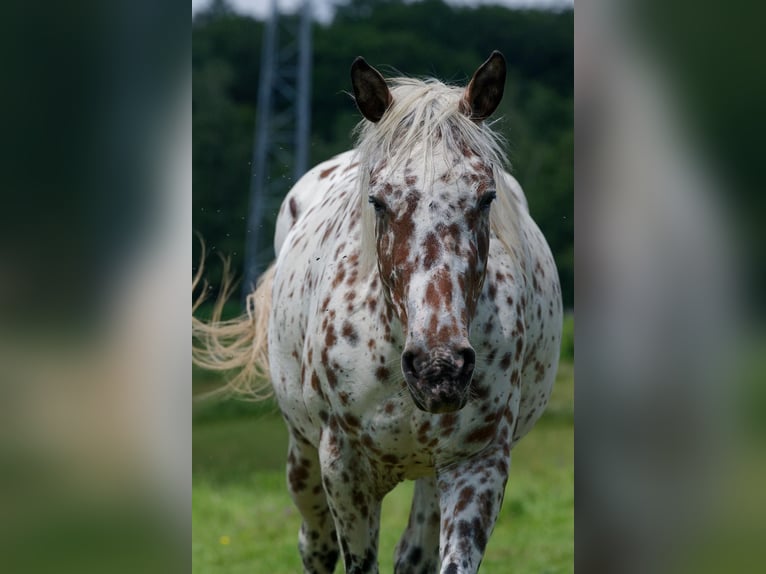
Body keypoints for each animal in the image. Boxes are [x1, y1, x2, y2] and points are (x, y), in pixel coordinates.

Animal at [192, 50, 564, 574]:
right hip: (303, 458)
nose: (438, 368)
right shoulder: (344, 467)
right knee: (315, 544)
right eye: (379, 200)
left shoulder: (478, 463)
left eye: (486, 197)